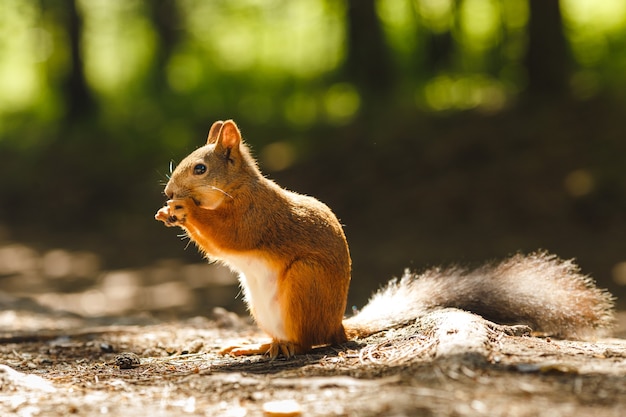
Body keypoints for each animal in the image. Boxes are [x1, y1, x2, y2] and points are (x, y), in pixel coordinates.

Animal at [154, 119, 612, 358]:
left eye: (200, 169)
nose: (168, 192)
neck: (239, 189)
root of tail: (337, 324)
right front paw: (167, 211)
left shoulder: (255, 217)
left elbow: (228, 237)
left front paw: (185, 210)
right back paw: (255, 346)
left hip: (305, 283)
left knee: (307, 341)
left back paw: (282, 348)